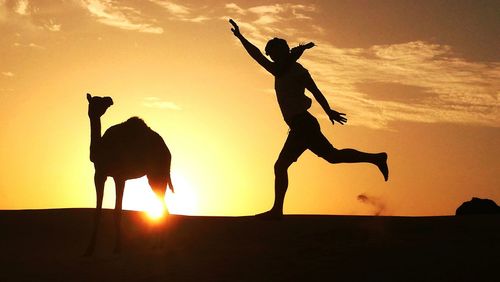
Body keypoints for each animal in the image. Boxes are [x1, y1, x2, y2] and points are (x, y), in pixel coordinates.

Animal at [85, 93, 173, 254]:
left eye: (101, 100)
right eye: (96, 101)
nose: (109, 100)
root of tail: (167, 150)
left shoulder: (120, 176)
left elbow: (117, 211)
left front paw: (118, 248)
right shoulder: (99, 174)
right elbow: (98, 211)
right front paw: (89, 249)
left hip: (158, 174)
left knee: (162, 206)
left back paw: (160, 245)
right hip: (155, 176)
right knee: (162, 206)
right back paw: (157, 245)